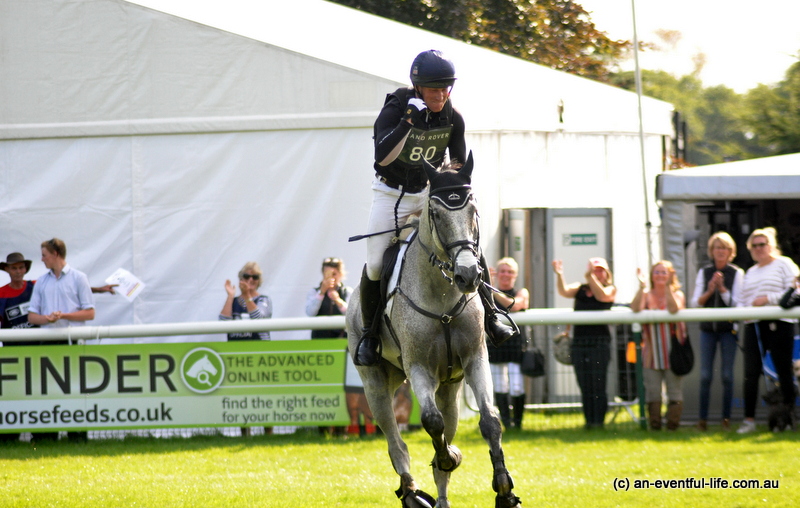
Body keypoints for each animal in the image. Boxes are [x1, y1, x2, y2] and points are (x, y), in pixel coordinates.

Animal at [347, 153, 521, 508]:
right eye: (437, 214)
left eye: (474, 211)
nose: (468, 275)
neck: (441, 293)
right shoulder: (418, 368)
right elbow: (430, 421)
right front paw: (449, 456)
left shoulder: (475, 359)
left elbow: (490, 419)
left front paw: (504, 487)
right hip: (376, 384)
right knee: (396, 444)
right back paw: (412, 493)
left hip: (449, 386)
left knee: (446, 427)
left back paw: (440, 496)